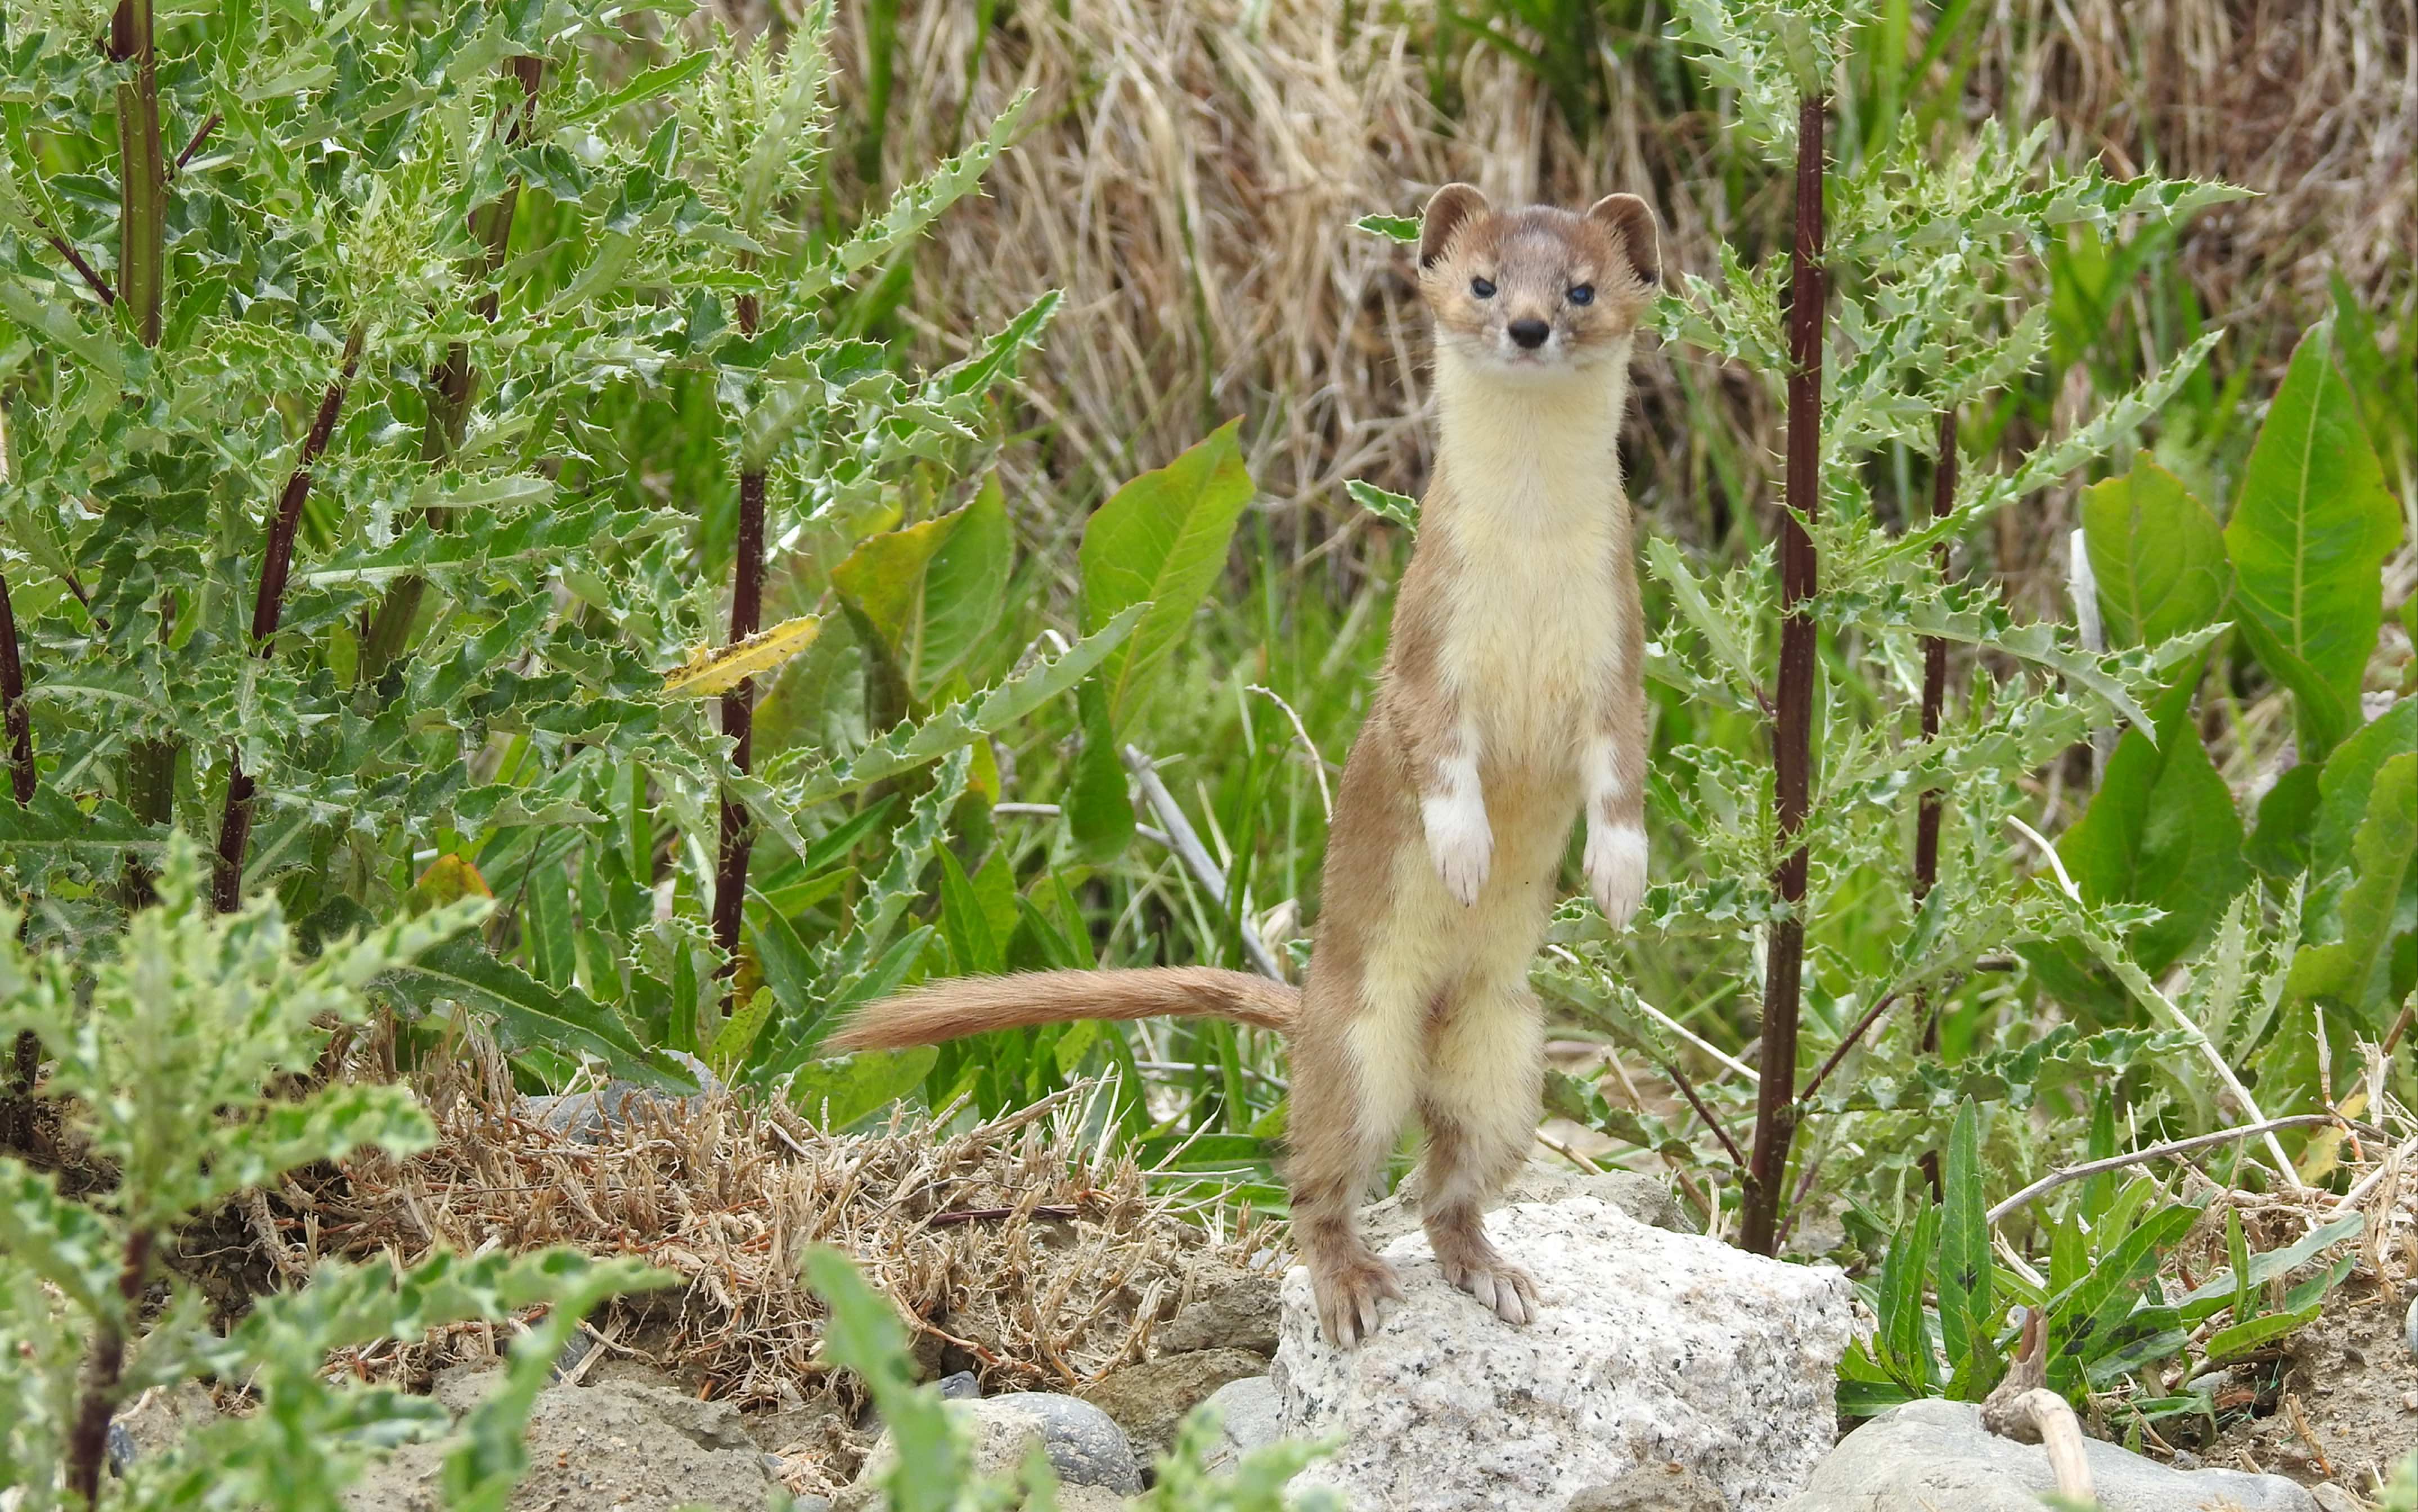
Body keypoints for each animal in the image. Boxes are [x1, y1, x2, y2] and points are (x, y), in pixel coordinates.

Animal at [832, 186, 1664, 1345]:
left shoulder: (1618, 657)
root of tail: (1318, 1008)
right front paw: (1462, 855)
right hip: (1357, 1042)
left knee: (1448, 1183)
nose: (1532, 325)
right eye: (1484, 281)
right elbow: (1439, 763)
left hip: (1508, 1052)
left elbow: (1622, 774)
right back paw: (1348, 1287)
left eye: (1581, 289)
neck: (1532, 564)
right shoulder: (1422, 660)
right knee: (1319, 1180)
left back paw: (1492, 1272)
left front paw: (1618, 879)